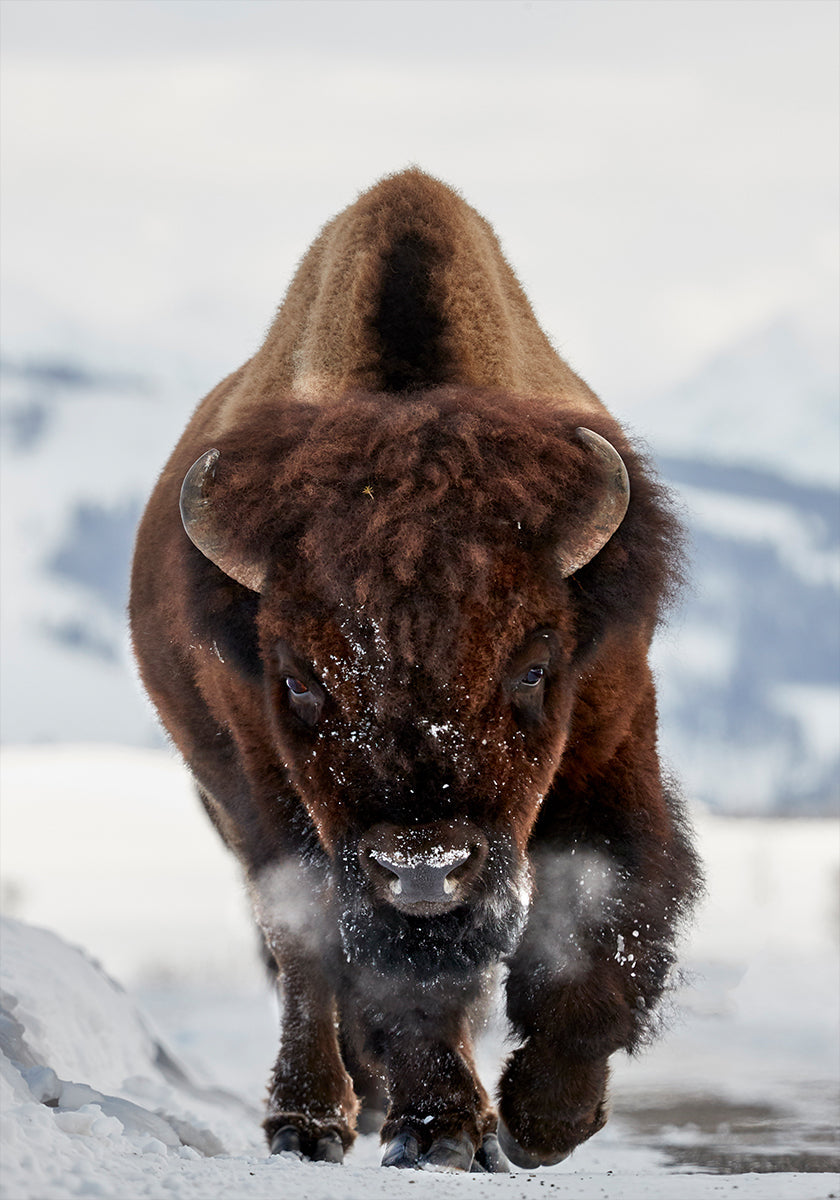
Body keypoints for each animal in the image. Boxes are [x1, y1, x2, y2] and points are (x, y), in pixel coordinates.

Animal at [130, 168, 701, 1173]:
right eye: (299, 679)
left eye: (534, 666)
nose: (424, 870)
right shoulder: (277, 790)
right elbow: (373, 968)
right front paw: (441, 1129)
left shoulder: (612, 734)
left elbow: (606, 905)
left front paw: (542, 1120)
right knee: (304, 953)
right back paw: (313, 1120)